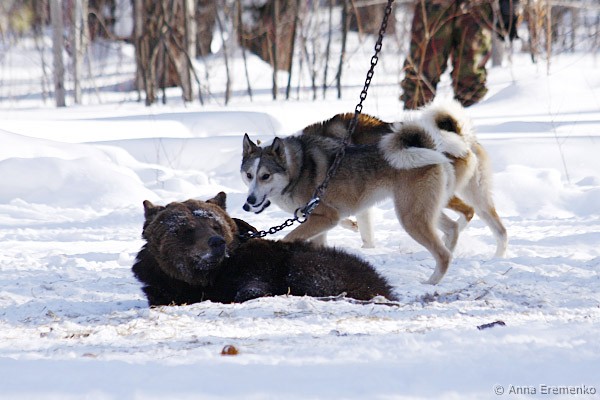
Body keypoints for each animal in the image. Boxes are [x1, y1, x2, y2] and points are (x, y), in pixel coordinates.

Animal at [132, 192, 397, 305]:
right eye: (186, 229)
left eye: (215, 225)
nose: (216, 242)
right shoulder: (163, 286)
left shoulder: (258, 265)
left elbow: (254, 284)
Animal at [241, 123, 458, 285]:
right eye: (249, 175)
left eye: (266, 176)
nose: (248, 203)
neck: (298, 170)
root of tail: (428, 149)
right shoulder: (320, 222)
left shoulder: (327, 217)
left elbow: (288, 238)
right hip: (423, 211)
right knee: (452, 229)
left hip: (410, 217)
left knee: (443, 255)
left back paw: (431, 281)